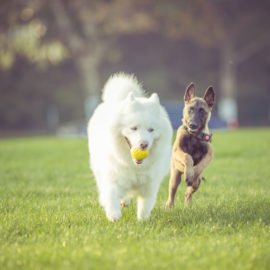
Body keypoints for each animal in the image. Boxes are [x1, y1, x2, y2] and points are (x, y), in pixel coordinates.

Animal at [88, 73, 173, 220]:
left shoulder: (150, 185)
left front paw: (142, 220)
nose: (144, 144)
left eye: (151, 130)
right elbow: (111, 194)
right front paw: (114, 215)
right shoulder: (112, 177)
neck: (135, 166)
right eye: (133, 128)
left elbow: (145, 206)